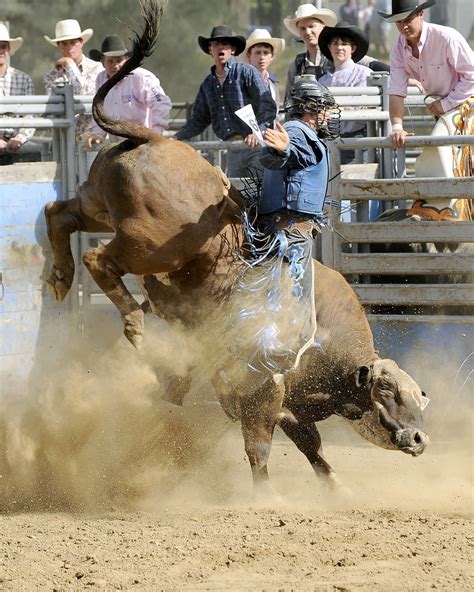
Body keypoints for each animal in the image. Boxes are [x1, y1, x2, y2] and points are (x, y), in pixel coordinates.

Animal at [44, 0, 430, 492]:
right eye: (386, 390)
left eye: (419, 396)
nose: (419, 437)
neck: (323, 337)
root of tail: (158, 138)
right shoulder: (263, 389)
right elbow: (259, 446)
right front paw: (268, 496)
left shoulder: (290, 404)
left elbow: (312, 446)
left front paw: (335, 488)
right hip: (152, 245)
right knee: (99, 257)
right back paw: (131, 319)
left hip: (98, 204)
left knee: (59, 213)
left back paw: (60, 277)